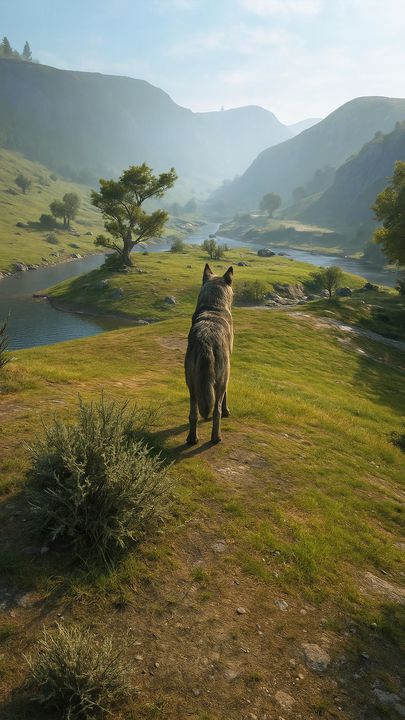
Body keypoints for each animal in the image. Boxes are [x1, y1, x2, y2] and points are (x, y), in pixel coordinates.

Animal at [185, 263, 234, 445]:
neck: (213, 306)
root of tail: (206, 341)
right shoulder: (226, 377)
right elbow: (225, 397)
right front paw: (227, 411)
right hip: (221, 379)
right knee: (216, 411)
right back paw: (216, 437)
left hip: (191, 383)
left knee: (193, 413)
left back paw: (192, 438)